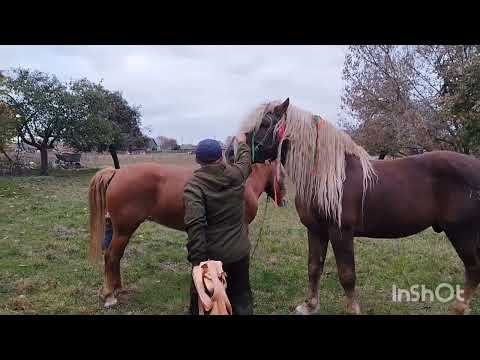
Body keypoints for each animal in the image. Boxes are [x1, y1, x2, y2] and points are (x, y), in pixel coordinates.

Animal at [88, 158, 286, 306]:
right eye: (283, 174)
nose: (283, 201)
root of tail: (117, 173)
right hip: (124, 230)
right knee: (111, 256)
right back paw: (109, 295)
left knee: (115, 257)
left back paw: (116, 288)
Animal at [242, 98, 480, 316]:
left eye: (265, 123)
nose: (238, 149)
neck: (328, 175)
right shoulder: (316, 231)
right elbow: (314, 267)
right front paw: (310, 306)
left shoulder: (340, 232)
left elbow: (347, 275)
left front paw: (352, 309)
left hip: (462, 234)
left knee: (473, 268)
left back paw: (458, 308)